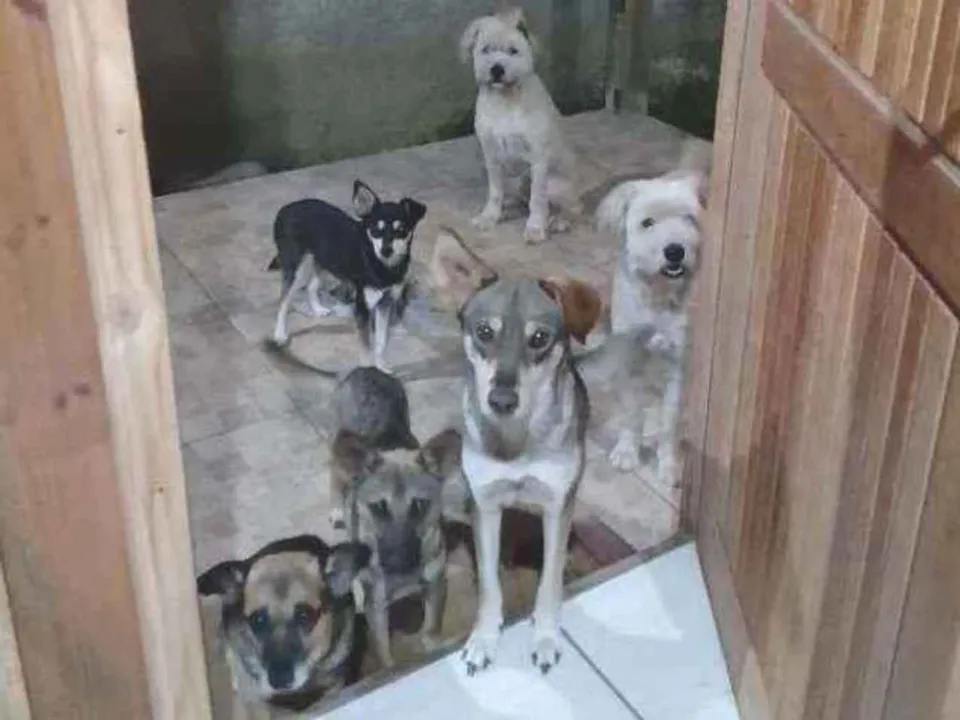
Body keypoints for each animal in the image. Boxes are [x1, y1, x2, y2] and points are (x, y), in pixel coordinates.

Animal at [268, 180, 427, 370]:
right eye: (376, 229)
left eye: (401, 229)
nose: (386, 251)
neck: (381, 265)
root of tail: (285, 208)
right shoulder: (363, 308)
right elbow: (366, 348)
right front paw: (369, 370)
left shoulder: (385, 303)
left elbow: (380, 341)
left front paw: (381, 366)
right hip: (297, 269)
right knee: (283, 301)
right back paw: (279, 334)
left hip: (323, 261)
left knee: (312, 286)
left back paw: (317, 309)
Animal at [331, 425, 462, 669]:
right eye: (379, 507)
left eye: (419, 505)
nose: (398, 564)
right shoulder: (376, 604)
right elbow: (385, 654)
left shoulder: (436, 583)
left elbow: (431, 626)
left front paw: (433, 644)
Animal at [457, 276, 590, 675]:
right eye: (484, 331)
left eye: (539, 338)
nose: (501, 400)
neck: (516, 442)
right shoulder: (484, 504)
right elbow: (488, 583)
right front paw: (483, 639)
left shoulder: (557, 506)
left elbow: (549, 581)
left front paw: (546, 638)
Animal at [460, 8, 582, 244]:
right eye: (486, 50)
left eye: (513, 51)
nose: (497, 69)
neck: (505, 101)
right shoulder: (491, 155)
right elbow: (495, 192)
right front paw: (489, 216)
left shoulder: (539, 158)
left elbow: (537, 199)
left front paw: (535, 228)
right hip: (514, 179)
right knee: (516, 198)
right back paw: (508, 207)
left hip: (555, 184)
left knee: (568, 208)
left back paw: (558, 221)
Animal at [591, 170, 705, 479]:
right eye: (647, 223)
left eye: (689, 218)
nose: (675, 251)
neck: (658, 296)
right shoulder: (629, 360)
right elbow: (631, 411)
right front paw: (627, 451)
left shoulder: (678, 365)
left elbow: (670, 420)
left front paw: (668, 464)